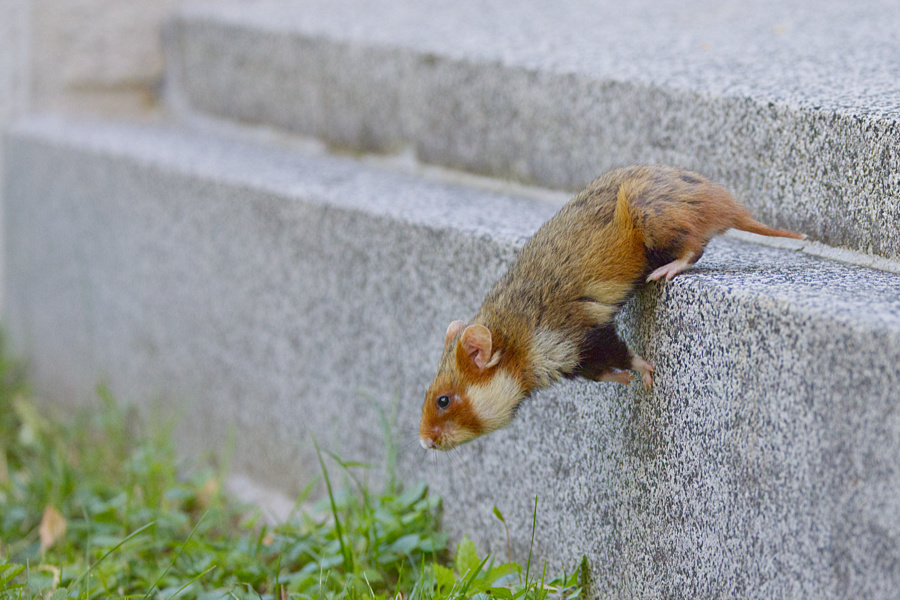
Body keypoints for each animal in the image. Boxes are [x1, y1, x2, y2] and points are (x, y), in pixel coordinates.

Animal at [419, 165, 804, 451]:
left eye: (443, 400)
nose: (423, 442)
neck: (515, 338)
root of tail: (728, 204)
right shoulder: (577, 360)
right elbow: (601, 372)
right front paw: (625, 380)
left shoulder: (581, 335)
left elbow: (624, 354)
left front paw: (646, 374)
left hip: (650, 214)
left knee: (693, 247)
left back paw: (665, 270)